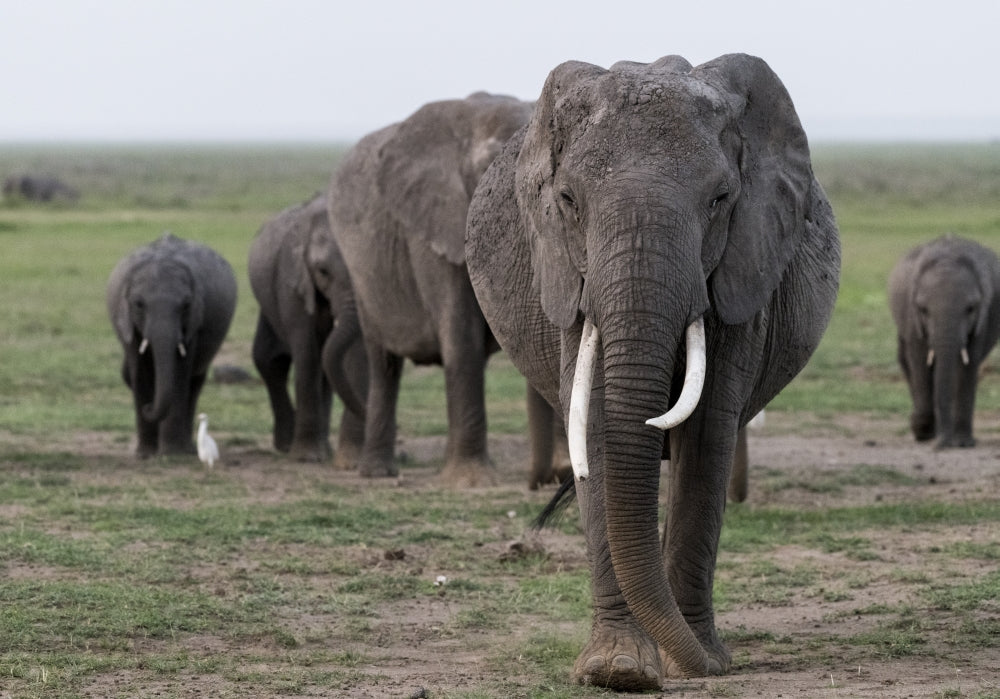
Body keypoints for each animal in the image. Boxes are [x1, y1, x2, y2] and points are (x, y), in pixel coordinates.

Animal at [107, 233, 237, 457]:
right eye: (139, 304)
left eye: (185, 305)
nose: (148, 406)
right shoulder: (128, 322)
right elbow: (139, 373)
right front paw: (145, 454)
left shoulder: (193, 323)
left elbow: (180, 373)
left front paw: (171, 454)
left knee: (194, 383)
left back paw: (188, 449)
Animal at [248, 193, 367, 466]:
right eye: (323, 271)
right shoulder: (292, 280)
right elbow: (307, 352)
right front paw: (306, 457)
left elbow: (355, 353)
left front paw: (351, 461)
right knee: (270, 360)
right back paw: (289, 446)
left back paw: (325, 450)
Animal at [327, 91, 533, 486]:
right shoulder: (429, 229)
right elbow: (461, 341)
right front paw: (471, 482)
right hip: (363, 274)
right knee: (383, 365)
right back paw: (378, 472)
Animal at [466, 54, 840, 690]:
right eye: (567, 200)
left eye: (720, 199)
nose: (708, 666)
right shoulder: (571, 280)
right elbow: (596, 430)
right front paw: (619, 672)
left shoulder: (740, 273)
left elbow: (707, 435)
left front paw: (699, 660)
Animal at [888, 234, 1000, 448]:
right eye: (923, 310)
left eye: (971, 309)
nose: (941, 445)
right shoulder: (912, 317)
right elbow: (919, 361)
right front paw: (922, 429)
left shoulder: (984, 318)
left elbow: (968, 365)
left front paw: (963, 444)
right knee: (906, 360)